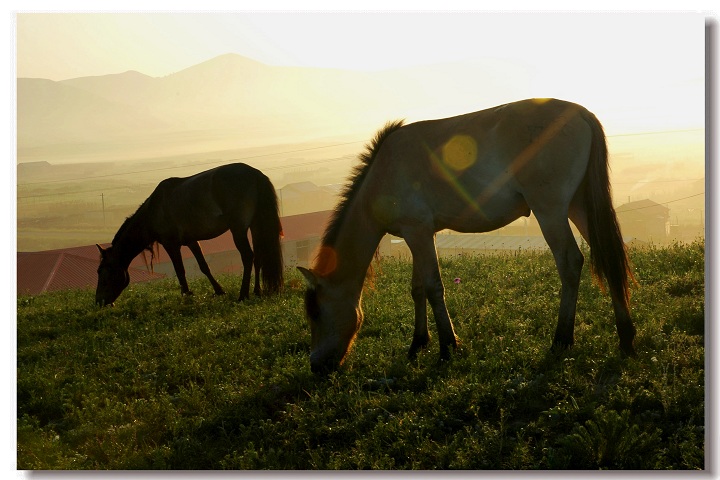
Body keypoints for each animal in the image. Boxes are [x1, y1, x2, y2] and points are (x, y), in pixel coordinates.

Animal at [95, 164, 284, 308]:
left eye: (103, 273)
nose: (99, 302)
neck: (153, 212)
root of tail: (255, 174)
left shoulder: (170, 244)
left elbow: (180, 271)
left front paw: (186, 295)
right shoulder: (192, 241)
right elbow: (204, 266)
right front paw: (218, 291)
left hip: (238, 230)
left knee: (248, 256)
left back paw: (243, 294)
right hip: (255, 225)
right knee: (258, 256)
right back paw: (257, 291)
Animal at [298, 98, 636, 376]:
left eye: (316, 312)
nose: (317, 366)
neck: (382, 174)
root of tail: (580, 112)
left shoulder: (417, 232)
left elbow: (433, 287)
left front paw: (448, 348)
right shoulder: (420, 234)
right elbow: (417, 289)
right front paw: (418, 344)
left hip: (550, 210)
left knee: (570, 262)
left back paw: (561, 340)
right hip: (579, 205)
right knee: (608, 258)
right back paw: (626, 337)